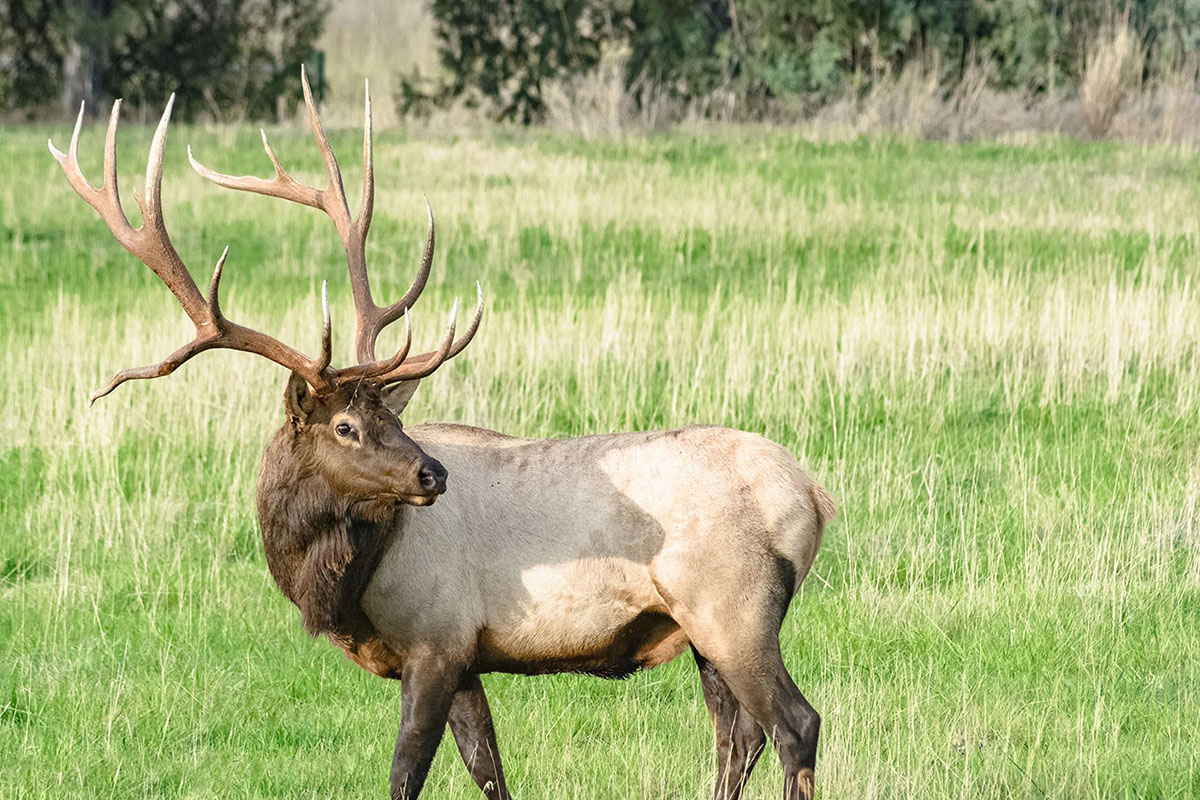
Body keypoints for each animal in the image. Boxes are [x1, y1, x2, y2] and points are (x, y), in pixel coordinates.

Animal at [54, 70, 835, 800]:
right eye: (348, 425)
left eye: (391, 419)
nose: (432, 473)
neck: (345, 584)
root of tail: (811, 495)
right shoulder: (462, 659)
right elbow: (489, 770)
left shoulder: (435, 639)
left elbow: (406, 774)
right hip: (702, 628)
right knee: (737, 736)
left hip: (732, 607)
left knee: (795, 724)